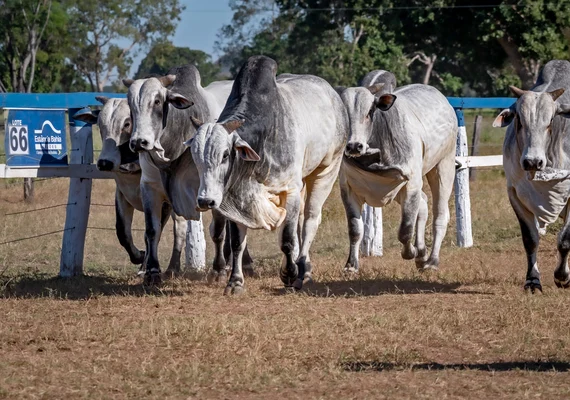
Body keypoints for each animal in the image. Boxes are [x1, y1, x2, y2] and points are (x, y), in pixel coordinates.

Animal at [126, 65, 251, 284]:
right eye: (129, 104)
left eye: (157, 101)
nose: (139, 142)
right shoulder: (150, 188)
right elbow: (153, 230)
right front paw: (152, 272)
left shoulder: (213, 192)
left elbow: (217, 232)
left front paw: (219, 270)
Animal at [187, 55, 346, 294]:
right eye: (195, 157)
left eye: (225, 154)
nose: (206, 201)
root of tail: (333, 95)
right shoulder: (237, 199)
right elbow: (237, 243)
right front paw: (235, 281)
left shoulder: (290, 189)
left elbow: (287, 239)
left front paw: (289, 274)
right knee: (299, 222)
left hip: (326, 171)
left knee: (309, 220)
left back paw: (304, 271)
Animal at [340, 83, 454, 274]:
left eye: (370, 111)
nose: (354, 146)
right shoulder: (348, 189)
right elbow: (355, 230)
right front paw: (351, 265)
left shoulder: (412, 184)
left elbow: (405, 230)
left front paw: (410, 252)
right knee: (423, 205)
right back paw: (422, 254)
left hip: (444, 165)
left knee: (440, 216)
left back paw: (431, 261)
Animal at [490, 59, 568, 292]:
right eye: (520, 121)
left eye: (550, 121)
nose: (532, 162)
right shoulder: (515, 193)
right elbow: (530, 239)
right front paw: (532, 281)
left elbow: (565, 239)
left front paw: (562, 276)